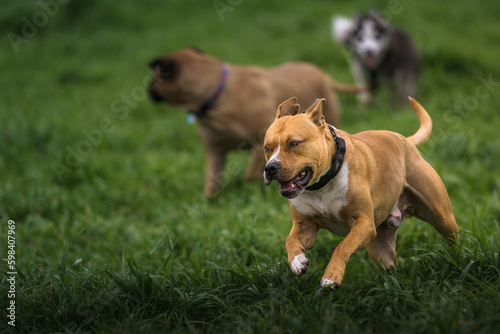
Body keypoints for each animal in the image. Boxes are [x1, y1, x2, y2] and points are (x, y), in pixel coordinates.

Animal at [146, 48, 362, 197]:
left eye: (155, 77)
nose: (148, 88)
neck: (217, 93)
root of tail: (324, 76)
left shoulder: (258, 144)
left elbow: (250, 174)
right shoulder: (215, 152)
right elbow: (211, 182)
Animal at [264, 96, 458, 288]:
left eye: (293, 143)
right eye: (267, 148)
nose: (270, 167)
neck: (321, 186)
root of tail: (405, 140)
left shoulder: (363, 223)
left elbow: (342, 247)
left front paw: (331, 276)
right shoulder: (305, 226)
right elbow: (290, 241)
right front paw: (297, 262)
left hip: (441, 215)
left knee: (451, 237)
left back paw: (455, 261)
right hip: (378, 244)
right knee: (390, 264)